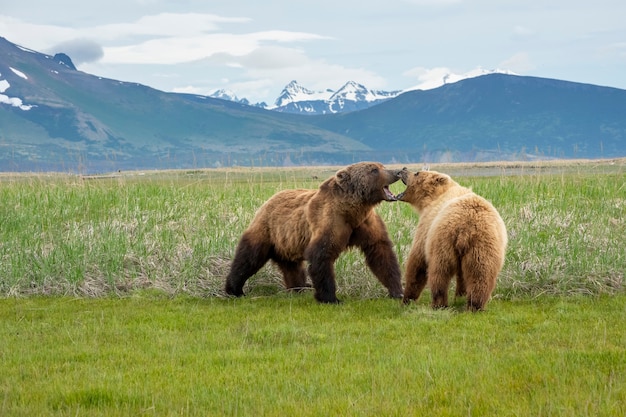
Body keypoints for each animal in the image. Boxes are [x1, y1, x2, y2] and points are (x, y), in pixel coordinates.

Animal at [224, 162, 404, 302]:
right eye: (374, 170)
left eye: (382, 166)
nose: (397, 171)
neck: (352, 210)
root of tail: (267, 201)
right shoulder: (330, 221)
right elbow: (322, 255)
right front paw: (331, 298)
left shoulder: (365, 224)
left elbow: (380, 252)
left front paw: (397, 291)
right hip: (267, 229)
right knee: (249, 257)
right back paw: (234, 289)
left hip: (287, 242)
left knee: (292, 267)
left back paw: (299, 287)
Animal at [394, 168, 508, 308]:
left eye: (417, 173)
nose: (403, 170)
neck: (433, 198)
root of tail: (468, 226)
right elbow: (463, 274)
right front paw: (460, 295)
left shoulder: (426, 225)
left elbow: (418, 261)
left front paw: (407, 298)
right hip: (485, 246)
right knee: (480, 275)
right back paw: (475, 305)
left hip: (443, 241)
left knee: (440, 273)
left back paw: (439, 303)